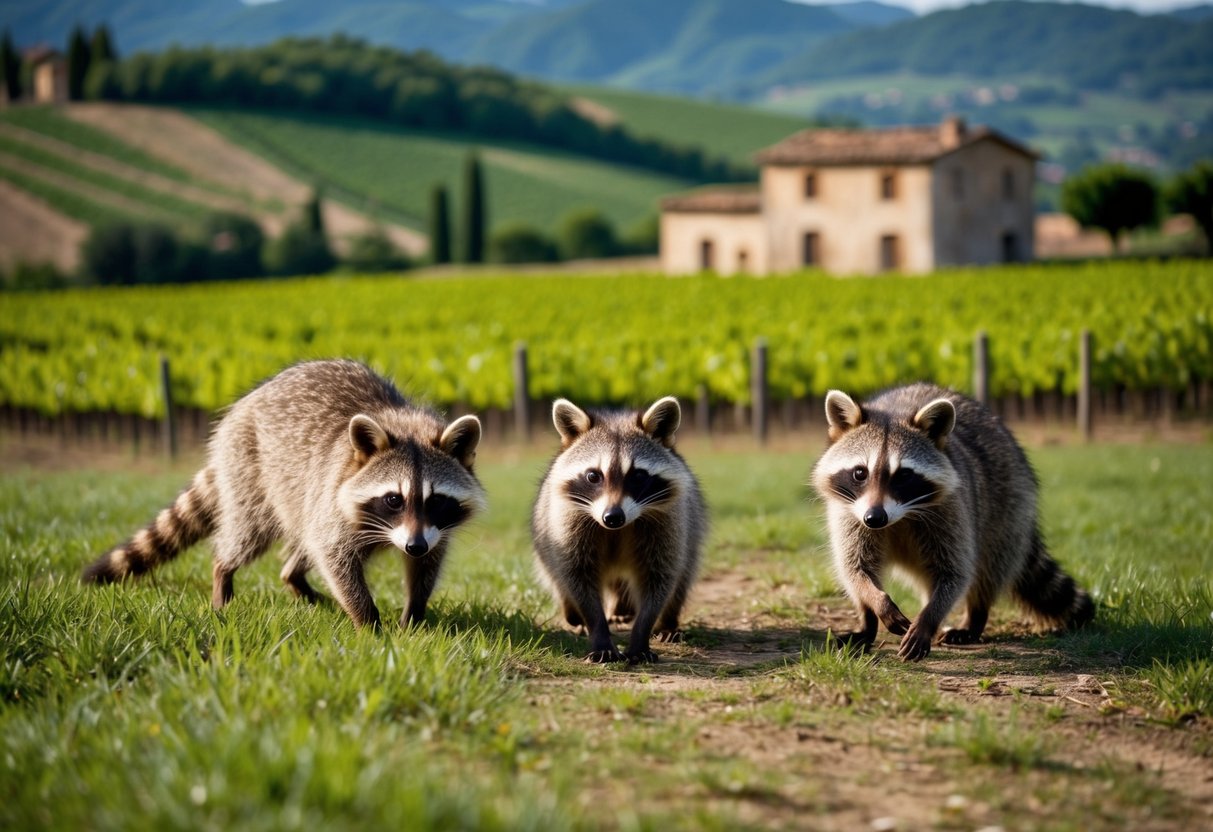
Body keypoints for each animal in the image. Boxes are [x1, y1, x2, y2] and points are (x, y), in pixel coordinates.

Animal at [83, 359, 485, 629]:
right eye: (393, 499)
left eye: (436, 500)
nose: (413, 545)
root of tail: (241, 408)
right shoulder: (333, 498)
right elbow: (333, 556)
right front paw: (368, 621)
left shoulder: (432, 529)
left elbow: (427, 565)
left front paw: (412, 616)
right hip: (253, 474)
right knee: (248, 534)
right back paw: (223, 573)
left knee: (302, 545)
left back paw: (296, 580)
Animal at [532, 397, 707, 664]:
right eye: (593, 476)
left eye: (638, 475)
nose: (613, 517)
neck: (619, 528)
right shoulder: (568, 522)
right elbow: (578, 577)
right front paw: (599, 633)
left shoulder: (669, 524)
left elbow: (659, 578)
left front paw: (642, 634)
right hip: (544, 528)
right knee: (558, 577)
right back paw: (573, 613)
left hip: (691, 529)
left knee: (682, 576)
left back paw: (667, 622)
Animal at [811, 382, 1093, 661]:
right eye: (860, 473)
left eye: (903, 475)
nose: (875, 518)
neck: (899, 517)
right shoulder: (850, 513)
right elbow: (855, 567)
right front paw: (876, 603)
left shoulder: (952, 510)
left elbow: (955, 572)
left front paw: (928, 619)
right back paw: (867, 624)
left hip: (1008, 505)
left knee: (990, 566)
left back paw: (975, 617)